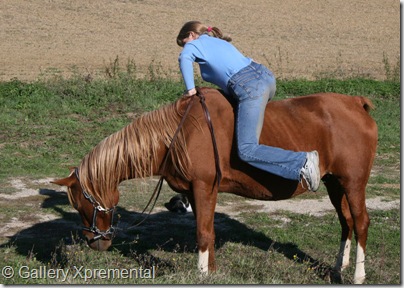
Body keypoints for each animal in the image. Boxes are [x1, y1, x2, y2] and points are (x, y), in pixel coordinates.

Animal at [52, 88, 378, 284]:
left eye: (82, 204)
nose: (95, 241)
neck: (178, 134)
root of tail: (356, 103)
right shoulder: (196, 193)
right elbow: (207, 230)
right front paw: (211, 271)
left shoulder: (203, 187)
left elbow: (203, 233)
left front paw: (201, 274)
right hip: (335, 183)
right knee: (346, 223)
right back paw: (338, 267)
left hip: (353, 183)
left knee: (361, 222)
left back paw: (358, 275)